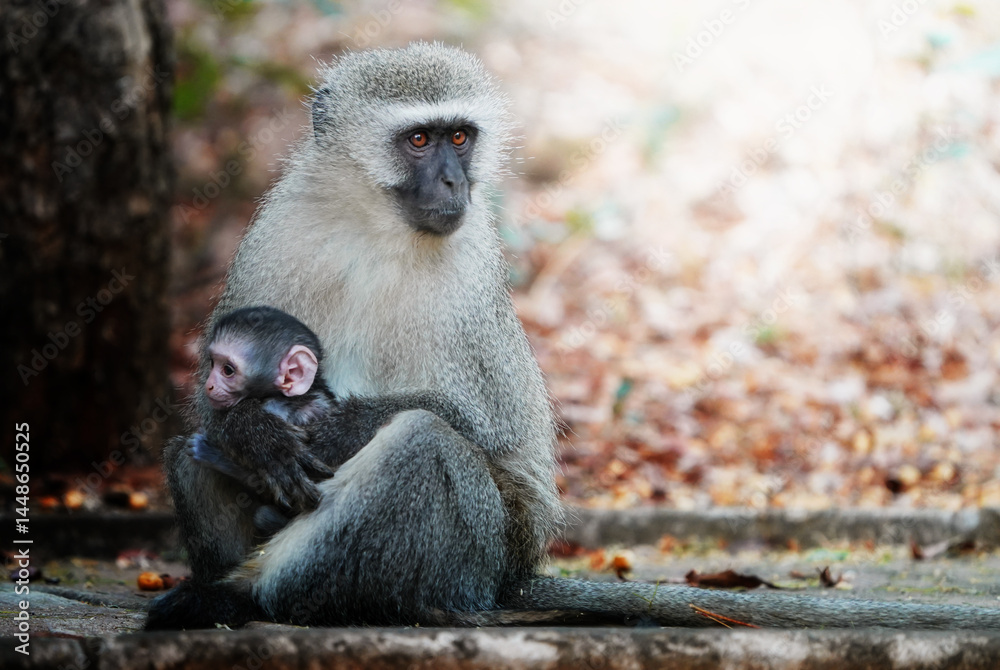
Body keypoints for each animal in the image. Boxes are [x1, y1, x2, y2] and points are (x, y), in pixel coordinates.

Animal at [147, 42, 1000, 631]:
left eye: (461, 138)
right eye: (420, 142)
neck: (373, 226)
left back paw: (258, 599)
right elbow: (214, 401)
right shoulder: (278, 234)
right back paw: (217, 581)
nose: (455, 183)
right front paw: (256, 427)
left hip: (475, 554)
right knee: (194, 446)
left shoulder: (469, 281)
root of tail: (510, 581)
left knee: (422, 444)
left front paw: (326, 423)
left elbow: (497, 445)